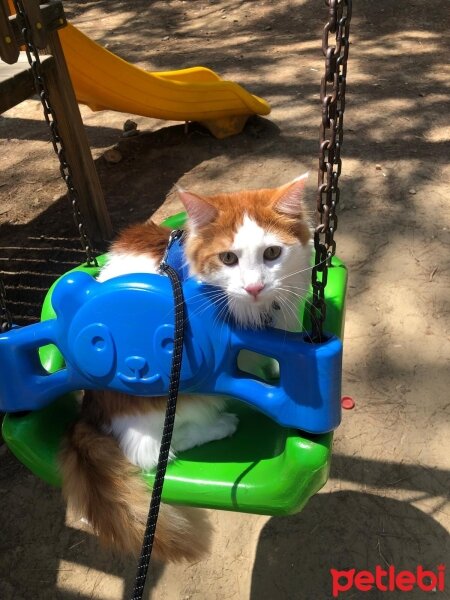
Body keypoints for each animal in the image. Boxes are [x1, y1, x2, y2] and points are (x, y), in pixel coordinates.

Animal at [59, 172, 312, 564]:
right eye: (228, 258)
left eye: (272, 253)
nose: (254, 287)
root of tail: (88, 411)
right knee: (151, 451)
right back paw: (221, 424)